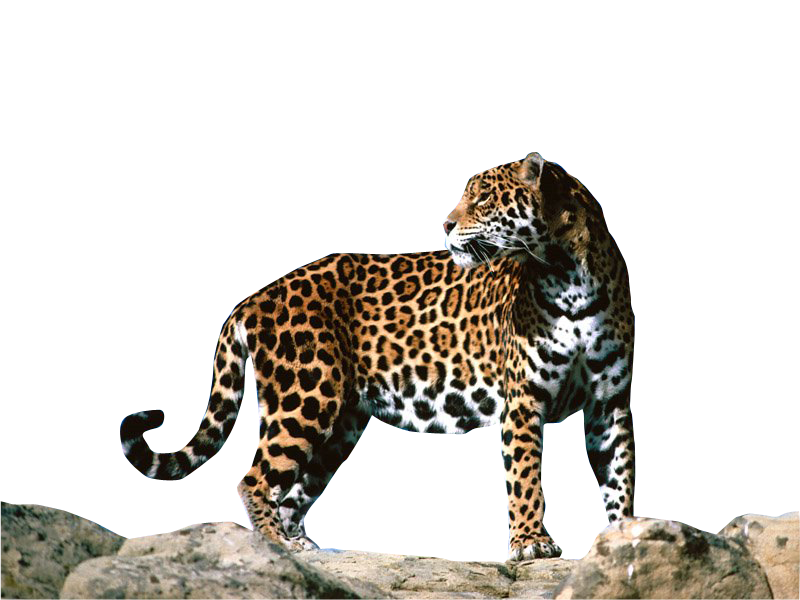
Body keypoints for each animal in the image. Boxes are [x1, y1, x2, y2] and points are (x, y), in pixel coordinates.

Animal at [120, 152, 635, 561]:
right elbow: (526, 475)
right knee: (255, 478)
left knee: (295, 489)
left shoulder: (609, 402)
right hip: (304, 395)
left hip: (340, 424)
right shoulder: (525, 398)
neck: (568, 275)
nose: (445, 224)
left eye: (483, 198)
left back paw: (302, 544)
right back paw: (275, 545)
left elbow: (620, 474)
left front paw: (624, 538)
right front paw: (531, 543)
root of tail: (255, 296)